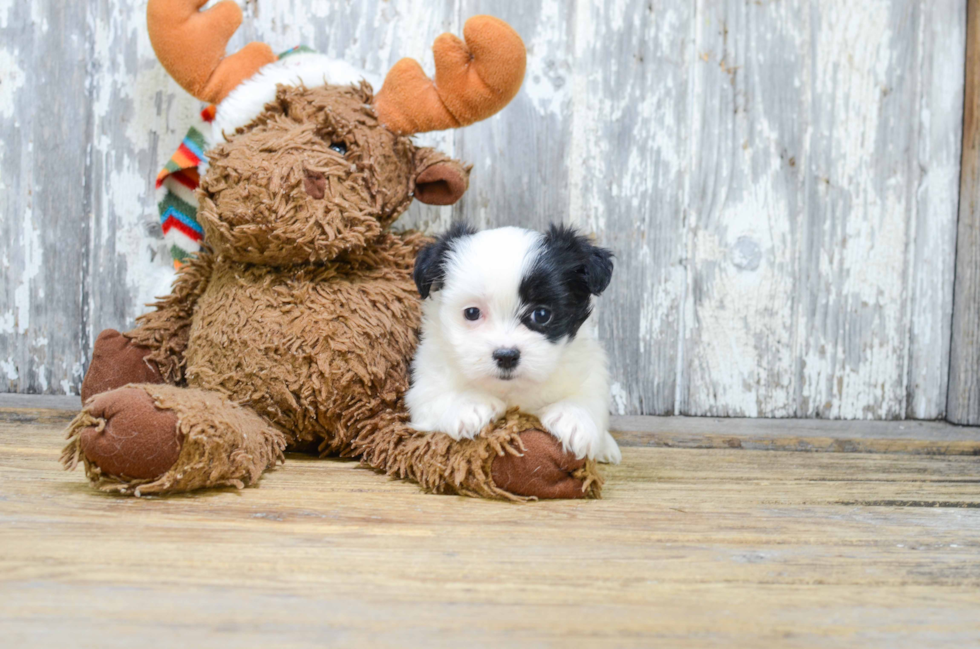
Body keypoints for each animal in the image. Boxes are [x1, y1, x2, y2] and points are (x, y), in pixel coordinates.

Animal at [406, 223, 620, 460]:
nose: (506, 356)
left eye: (542, 315)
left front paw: (573, 418)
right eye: (472, 313)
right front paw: (468, 405)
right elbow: (435, 396)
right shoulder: (426, 382)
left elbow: (589, 395)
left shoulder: (589, 367)